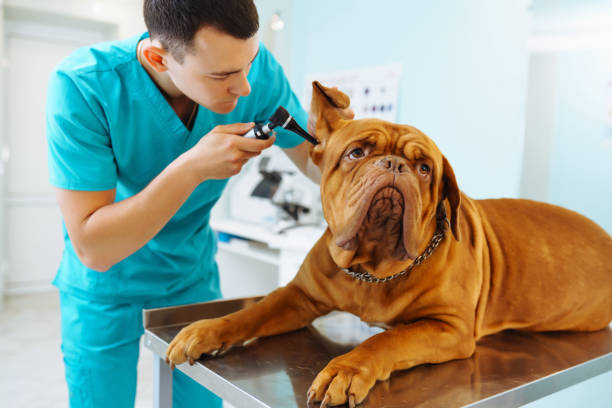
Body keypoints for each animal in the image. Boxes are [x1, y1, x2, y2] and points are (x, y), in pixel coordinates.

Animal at [166, 81, 612, 406]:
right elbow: (251, 313)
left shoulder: (447, 327)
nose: (395, 165)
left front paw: (346, 369)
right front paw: (206, 330)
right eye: (356, 152)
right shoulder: (299, 296)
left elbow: (387, 337)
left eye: (425, 168)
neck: (373, 268)